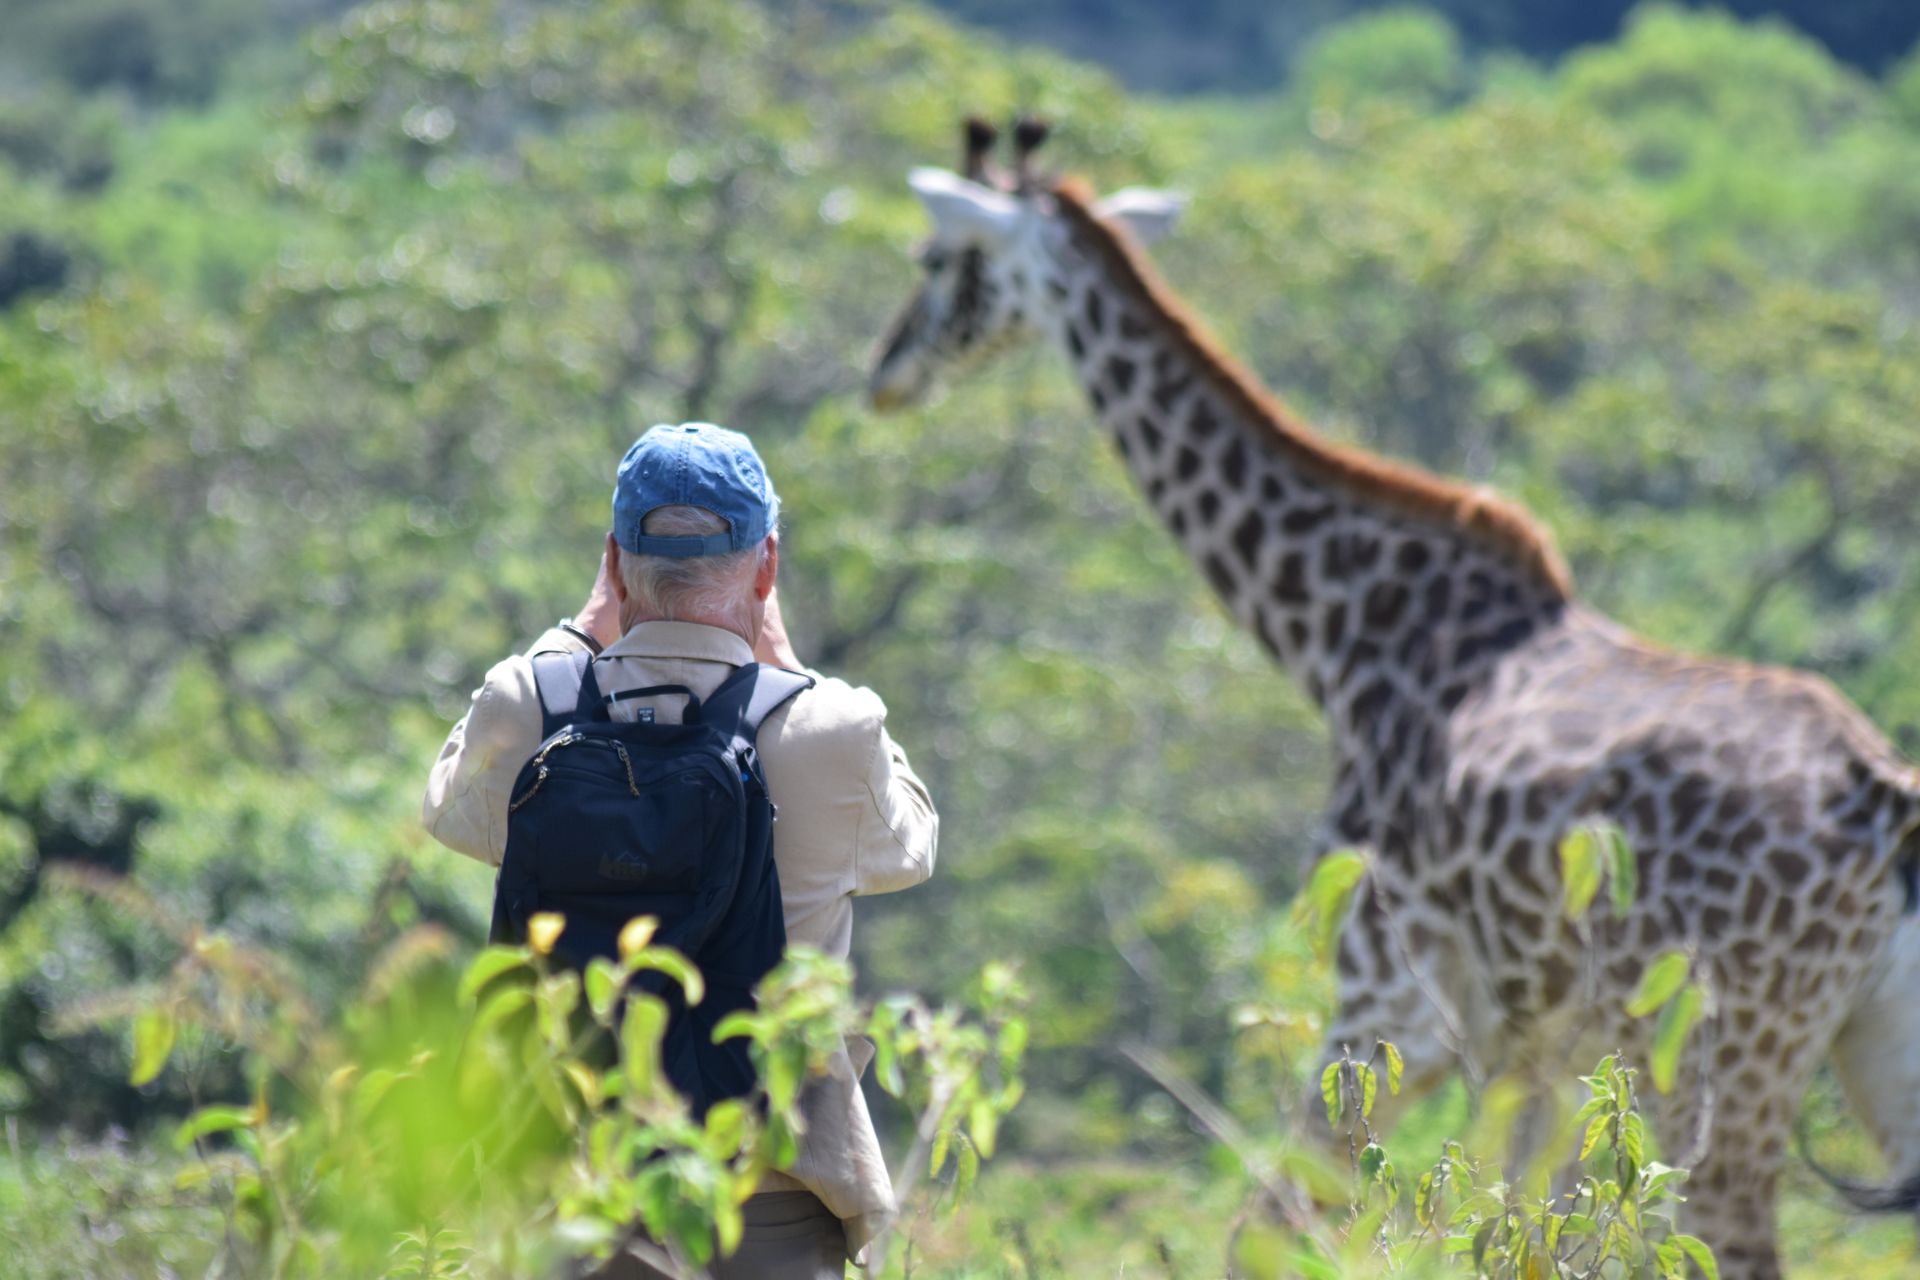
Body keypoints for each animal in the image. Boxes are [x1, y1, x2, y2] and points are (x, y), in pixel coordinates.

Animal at [863, 119, 1920, 1278]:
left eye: (935, 258)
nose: (885, 373)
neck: (1345, 635)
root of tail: (1885, 802)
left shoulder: (1386, 994)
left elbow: (1273, 1223)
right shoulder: (1530, 1047)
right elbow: (1512, 1224)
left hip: (1722, 1048)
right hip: (1864, 1052)